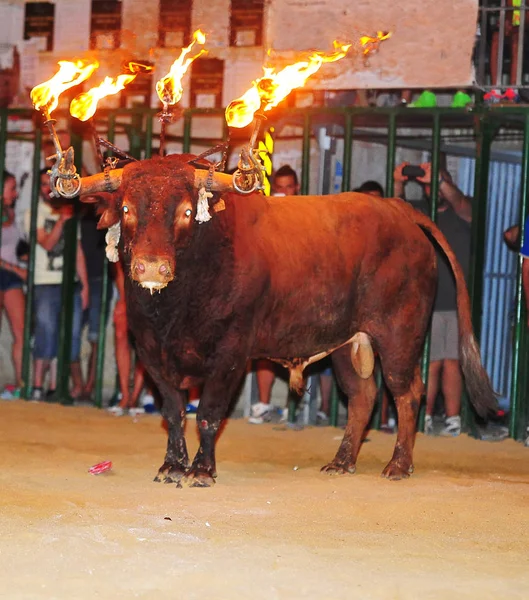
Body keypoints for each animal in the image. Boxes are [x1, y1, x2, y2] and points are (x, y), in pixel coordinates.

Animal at [80, 155, 498, 488]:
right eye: (127, 209)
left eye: (185, 211)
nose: (152, 267)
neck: (174, 309)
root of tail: (397, 210)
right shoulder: (151, 352)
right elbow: (174, 411)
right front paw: (171, 466)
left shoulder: (231, 355)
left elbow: (209, 414)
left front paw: (201, 471)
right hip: (347, 343)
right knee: (363, 396)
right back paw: (342, 461)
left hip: (399, 336)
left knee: (407, 392)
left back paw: (398, 465)